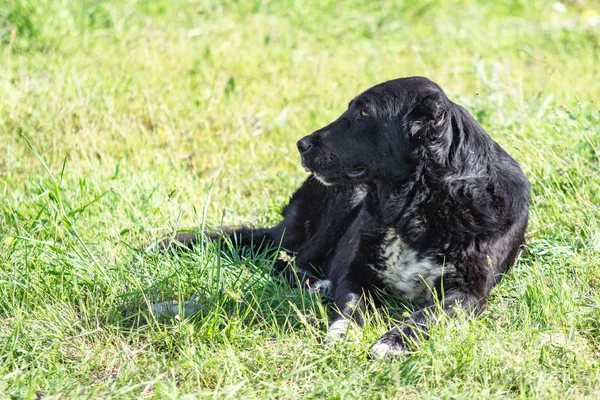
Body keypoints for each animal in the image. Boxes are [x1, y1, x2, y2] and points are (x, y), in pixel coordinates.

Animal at [158, 76, 528, 358]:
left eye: (363, 112)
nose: (301, 144)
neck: (414, 205)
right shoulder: (353, 273)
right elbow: (351, 305)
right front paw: (342, 332)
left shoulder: (469, 293)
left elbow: (427, 315)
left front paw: (394, 341)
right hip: (345, 197)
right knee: (286, 264)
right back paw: (318, 285)